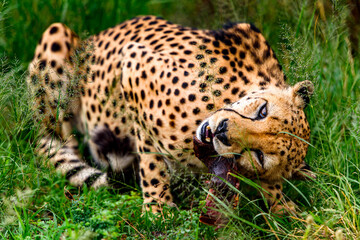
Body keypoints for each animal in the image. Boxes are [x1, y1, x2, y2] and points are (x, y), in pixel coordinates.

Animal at [27, 14, 316, 221]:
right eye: (262, 111)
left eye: (259, 156)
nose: (222, 130)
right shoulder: (133, 63)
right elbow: (151, 160)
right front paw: (158, 209)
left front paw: (284, 209)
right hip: (57, 37)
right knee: (51, 137)